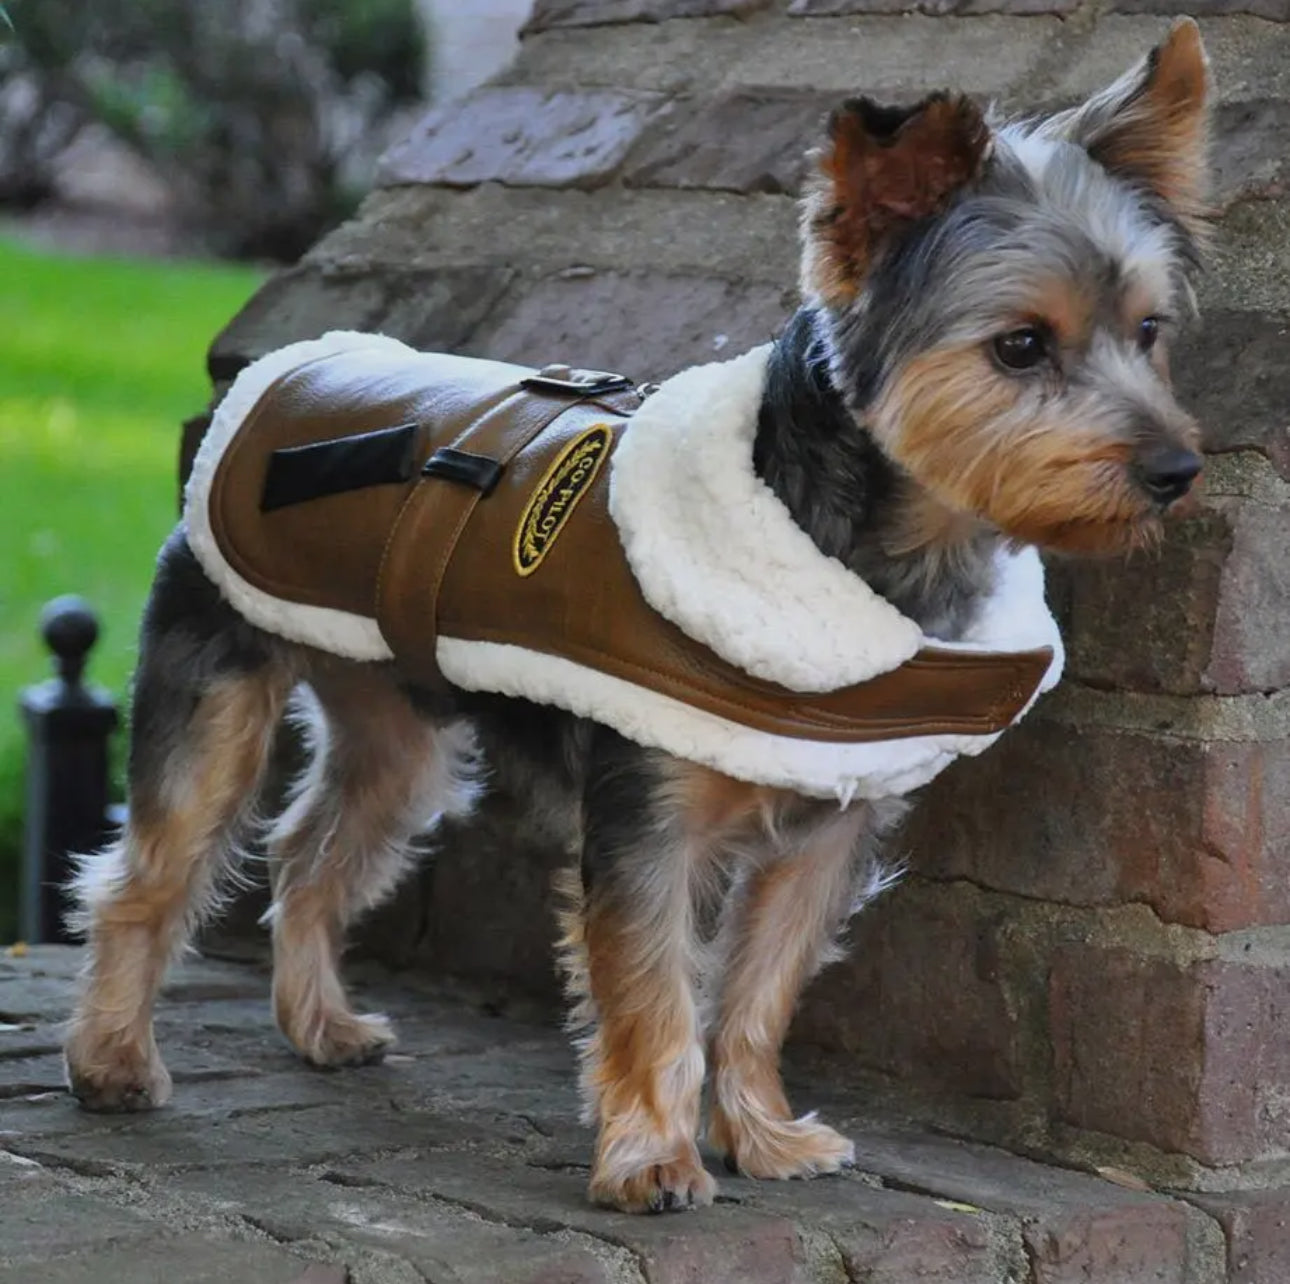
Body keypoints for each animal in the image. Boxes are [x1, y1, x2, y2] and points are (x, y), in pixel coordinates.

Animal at [62, 20, 1207, 1213]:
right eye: (1020, 346)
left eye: (1150, 331)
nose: (1177, 470)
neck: (869, 547)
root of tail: (290, 368)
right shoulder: (647, 822)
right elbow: (658, 991)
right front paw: (654, 1158)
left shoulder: (828, 829)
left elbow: (758, 991)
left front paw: (762, 1135)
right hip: (216, 679)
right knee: (148, 873)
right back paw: (113, 1061)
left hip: (393, 718)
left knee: (311, 852)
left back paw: (319, 1025)